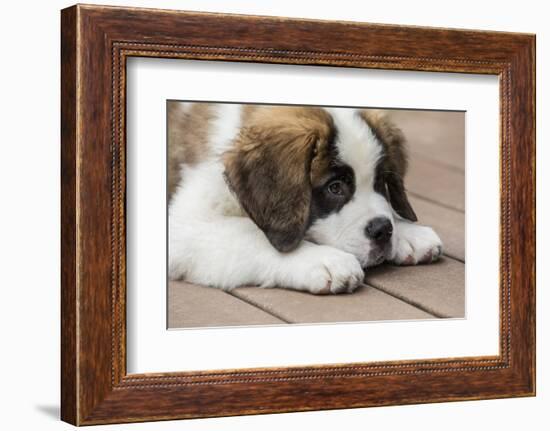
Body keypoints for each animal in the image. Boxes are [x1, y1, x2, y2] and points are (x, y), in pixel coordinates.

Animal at [168, 103, 444, 296]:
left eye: (379, 182)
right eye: (335, 188)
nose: (383, 231)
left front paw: (407, 232)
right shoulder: (184, 226)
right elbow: (250, 233)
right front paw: (324, 260)